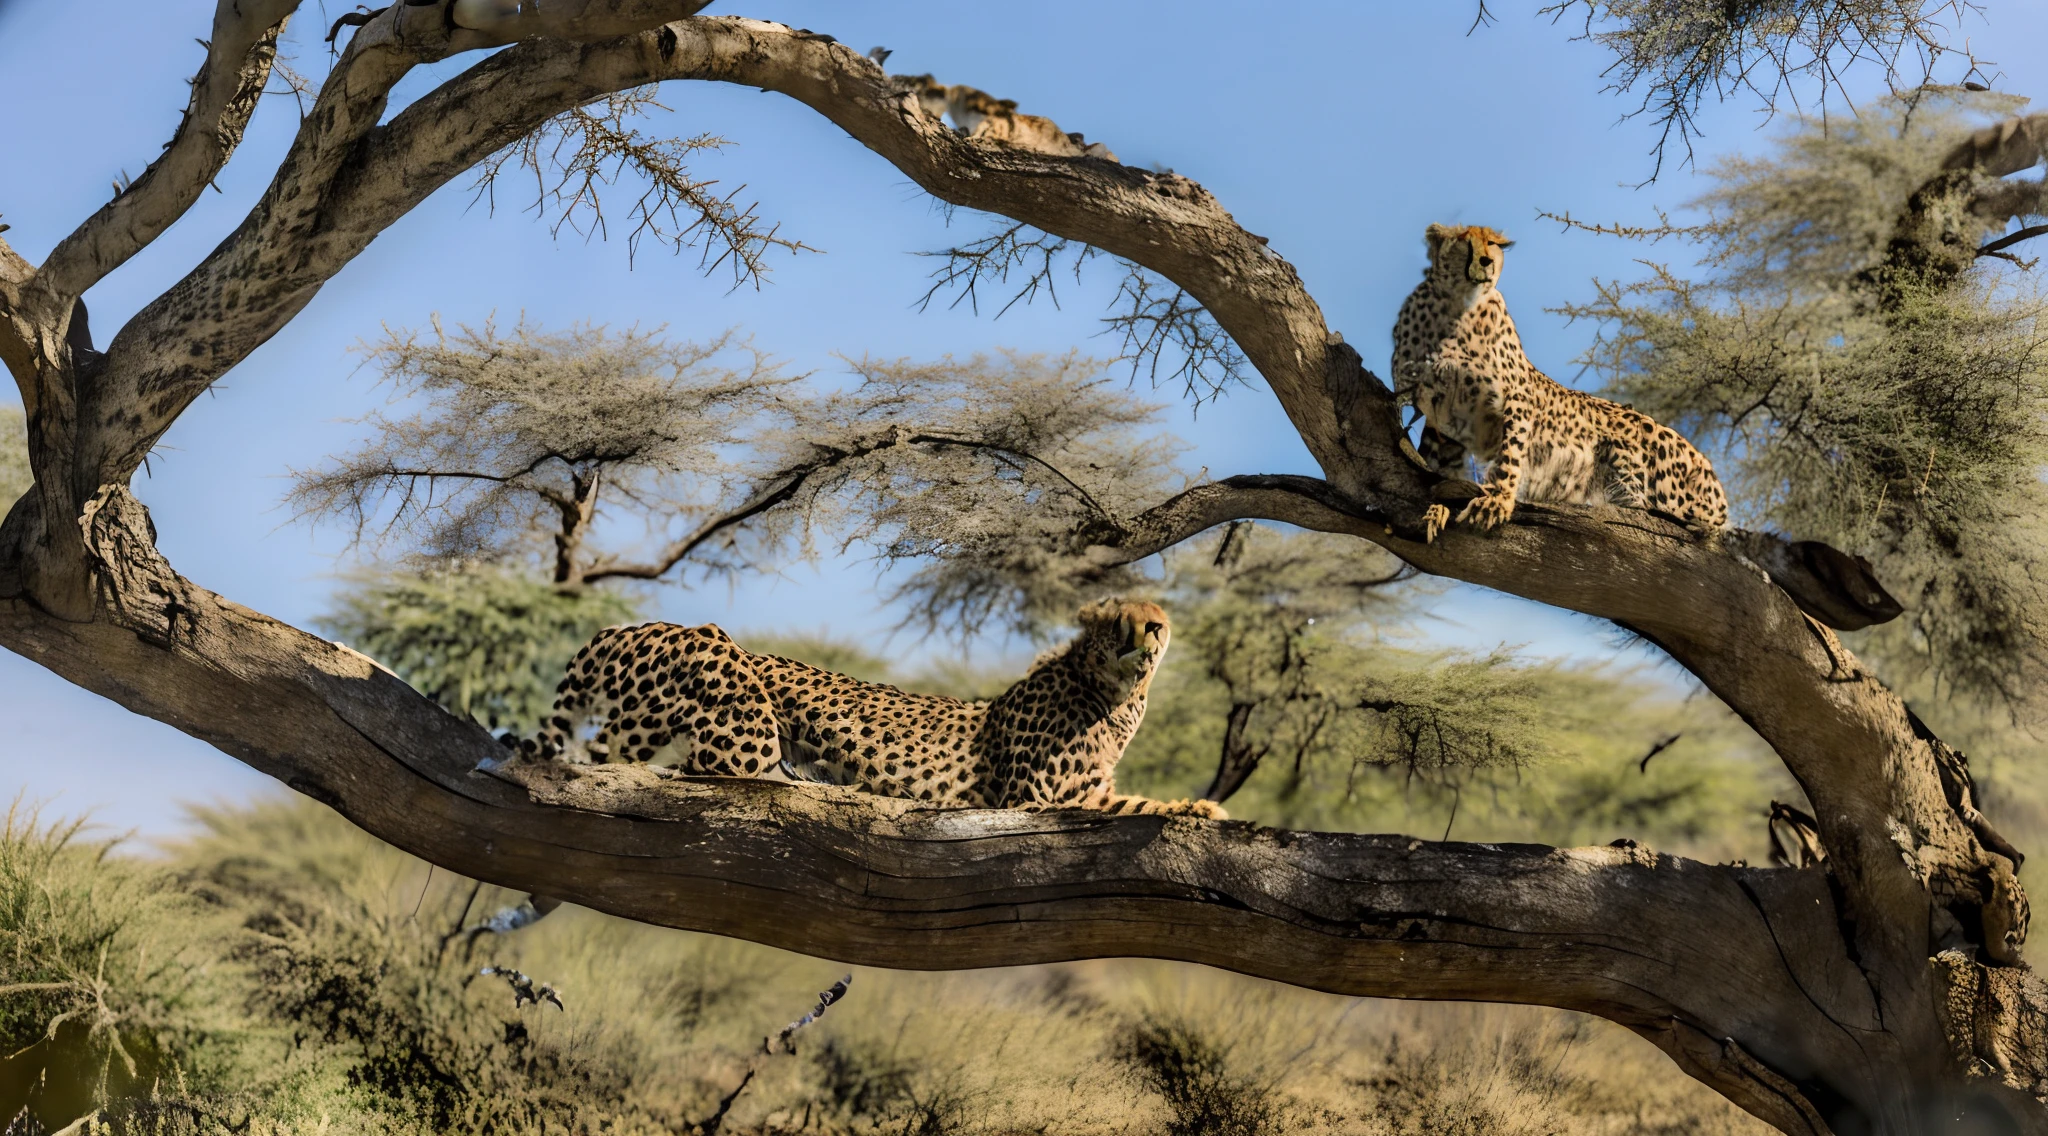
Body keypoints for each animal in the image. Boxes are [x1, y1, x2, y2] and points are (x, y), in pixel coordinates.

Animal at [520, 597, 1220, 818]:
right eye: (1119, 618)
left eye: (1158, 617)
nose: (1151, 632)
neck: (1110, 697)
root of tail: (633, 626)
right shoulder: (1032, 800)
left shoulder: (1091, 794)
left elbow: (1137, 804)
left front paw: (1199, 807)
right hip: (729, 688)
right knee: (641, 758)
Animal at [1392, 224, 1728, 544]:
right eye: (1464, 239)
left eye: (1494, 243)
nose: (1486, 262)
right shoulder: (1441, 420)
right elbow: (1440, 469)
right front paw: (1437, 509)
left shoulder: (1517, 398)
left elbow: (1509, 455)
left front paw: (1496, 502)